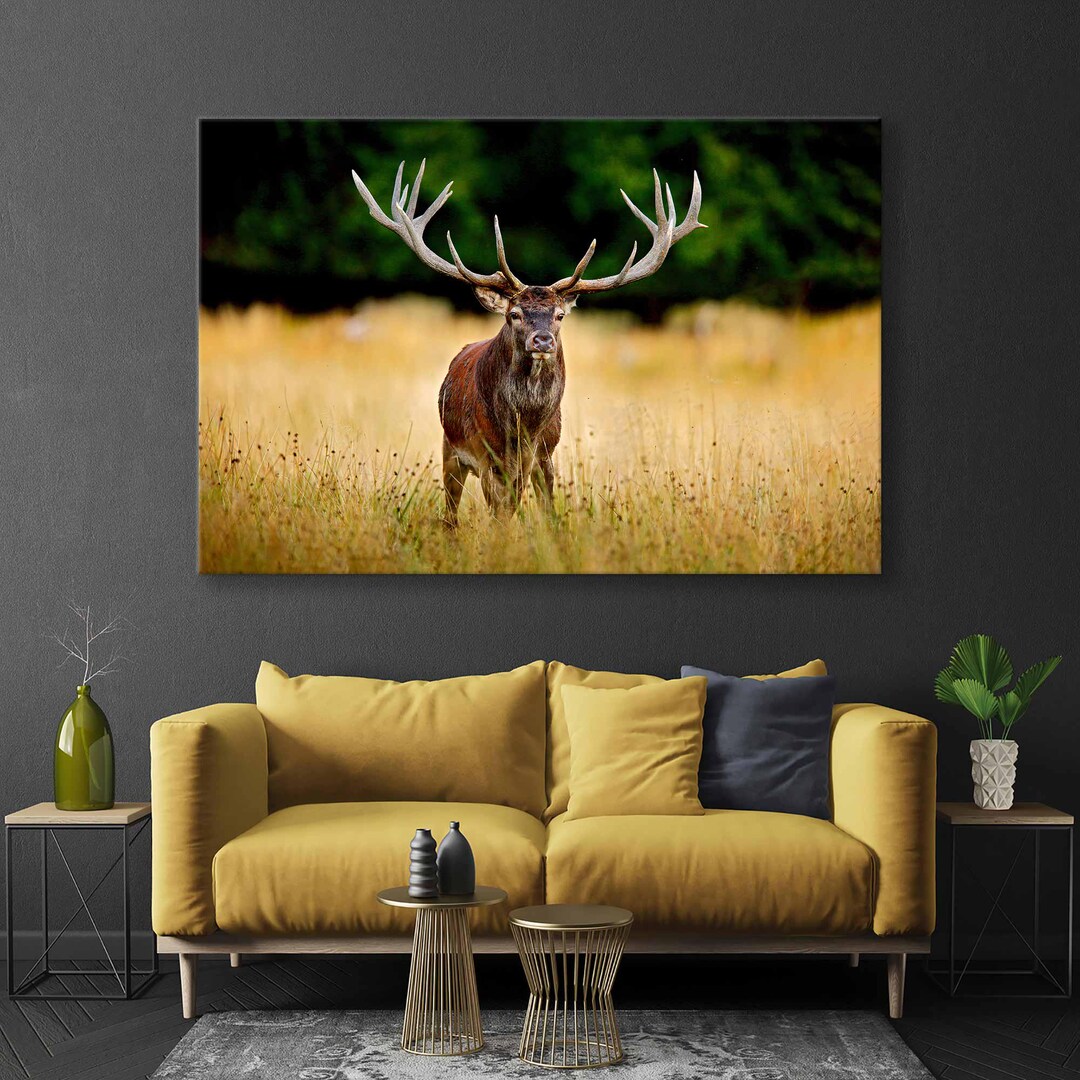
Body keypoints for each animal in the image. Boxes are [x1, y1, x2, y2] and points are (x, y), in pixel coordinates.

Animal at [351, 160, 705, 526]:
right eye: (515, 314)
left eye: (560, 314)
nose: (543, 340)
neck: (524, 429)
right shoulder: (488, 458)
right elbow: (501, 517)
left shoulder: (544, 454)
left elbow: (547, 513)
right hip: (450, 448)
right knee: (450, 516)